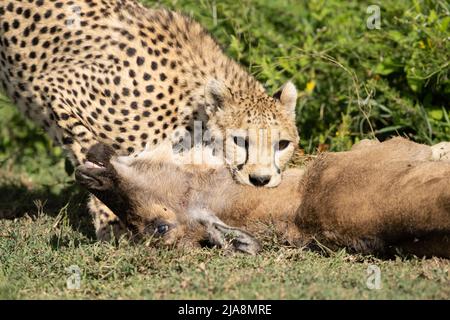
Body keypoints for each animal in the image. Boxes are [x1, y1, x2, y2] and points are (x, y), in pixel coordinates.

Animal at [0, 0, 298, 240]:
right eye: (240, 141)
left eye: (282, 144)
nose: (261, 180)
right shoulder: (54, 87)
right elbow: (91, 149)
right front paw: (110, 220)